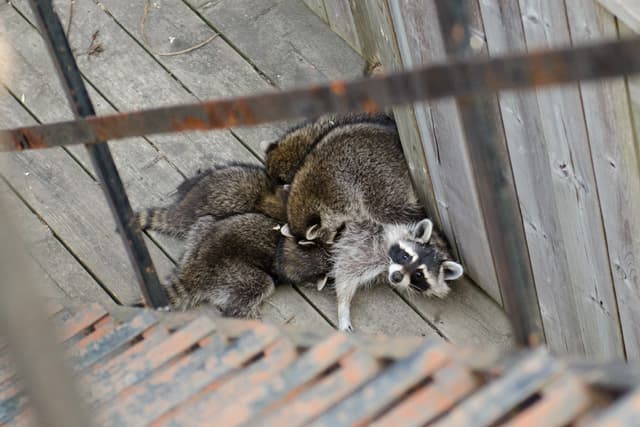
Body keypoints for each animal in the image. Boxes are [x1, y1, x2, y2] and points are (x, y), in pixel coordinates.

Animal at [330, 219, 460, 332]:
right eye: (405, 256)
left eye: (418, 274)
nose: (397, 276)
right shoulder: (366, 241)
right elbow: (346, 268)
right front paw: (343, 307)